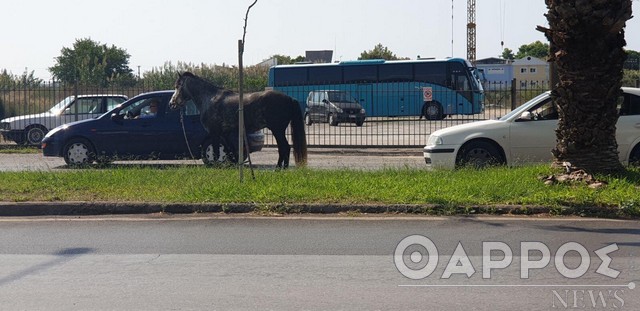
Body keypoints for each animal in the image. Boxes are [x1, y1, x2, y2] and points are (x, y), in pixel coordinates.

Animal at [168, 71, 308, 168]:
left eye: (177, 86)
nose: (171, 103)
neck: (209, 98)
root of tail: (289, 98)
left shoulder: (214, 132)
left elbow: (216, 151)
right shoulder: (225, 133)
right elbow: (230, 150)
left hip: (277, 130)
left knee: (284, 148)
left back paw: (279, 168)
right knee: (285, 148)